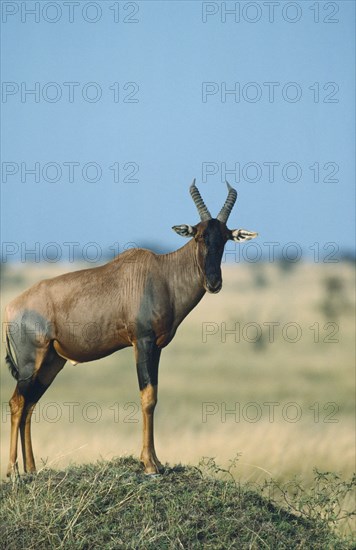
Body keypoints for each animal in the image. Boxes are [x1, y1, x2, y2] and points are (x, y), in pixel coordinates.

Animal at [4, 180, 256, 474]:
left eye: (225, 237)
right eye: (198, 236)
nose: (214, 283)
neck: (162, 273)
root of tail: (11, 307)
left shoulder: (157, 347)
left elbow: (154, 396)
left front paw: (157, 461)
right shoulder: (142, 341)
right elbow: (147, 397)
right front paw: (149, 465)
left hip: (52, 363)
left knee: (30, 405)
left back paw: (31, 470)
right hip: (30, 362)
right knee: (17, 402)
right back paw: (12, 472)